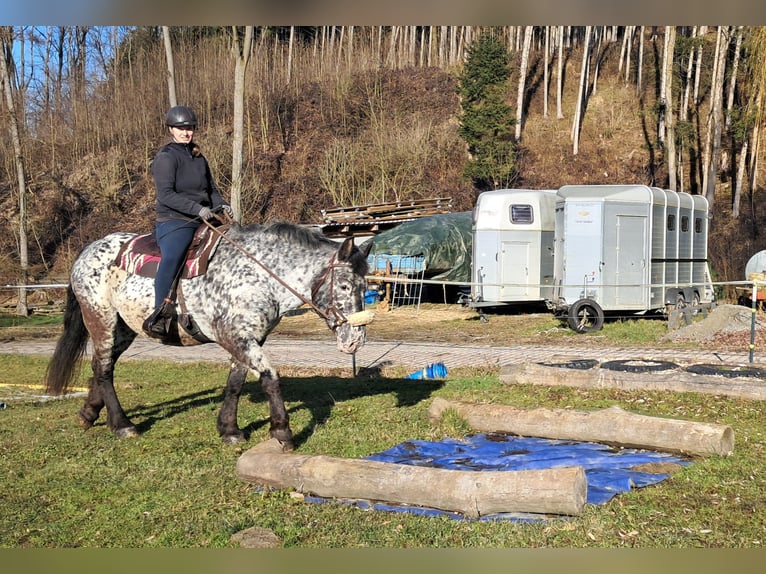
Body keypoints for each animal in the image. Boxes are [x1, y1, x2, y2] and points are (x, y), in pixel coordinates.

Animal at [43, 222, 374, 450]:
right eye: (344, 285)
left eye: (365, 286)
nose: (354, 340)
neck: (257, 274)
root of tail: (87, 252)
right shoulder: (237, 337)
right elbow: (270, 377)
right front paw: (282, 431)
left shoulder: (248, 338)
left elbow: (235, 383)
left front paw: (229, 429)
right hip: (102, 320)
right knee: (104, 368)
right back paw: (122, 425)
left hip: (124, 329)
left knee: (102, 366)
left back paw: (89, 413)